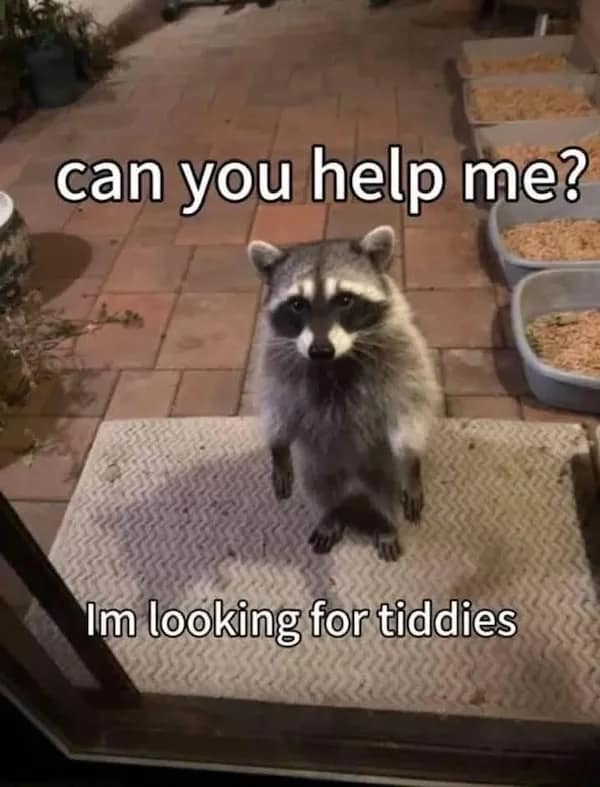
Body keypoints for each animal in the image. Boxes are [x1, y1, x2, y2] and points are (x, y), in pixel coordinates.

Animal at [247, 225, 441, 561]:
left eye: (345, 299)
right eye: (297, 304)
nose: (320, 350)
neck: (336, 361)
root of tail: (354, 476)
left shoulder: (403, 350)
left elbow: (410, 405)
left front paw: (411, 462)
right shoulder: (276, 359)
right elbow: (278, 406)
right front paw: (278, 448)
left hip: (380, 461)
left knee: (386, 492)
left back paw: (386, 524)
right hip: (318, 460)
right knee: (319, 487)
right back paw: (330, 516)